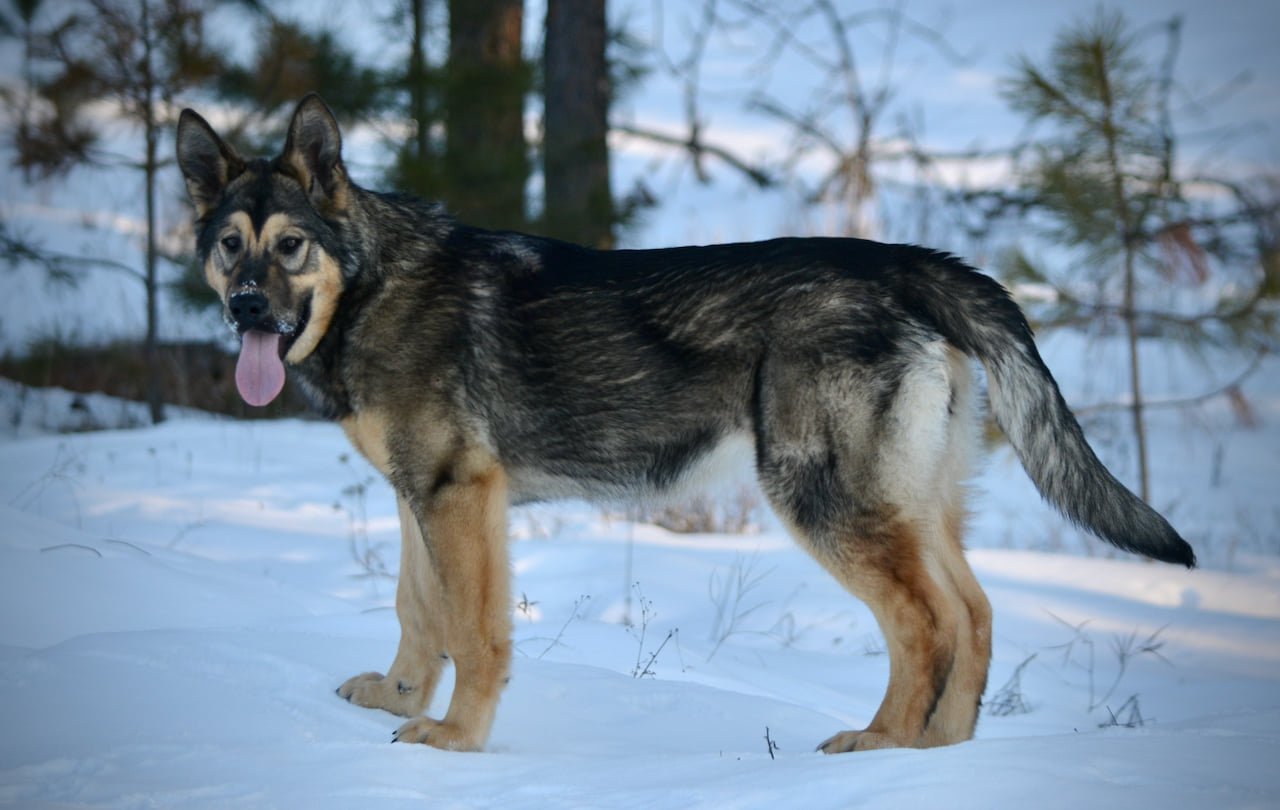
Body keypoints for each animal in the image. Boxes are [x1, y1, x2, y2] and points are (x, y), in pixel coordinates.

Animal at [175, 97, 1192, 757]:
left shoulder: (459, 499)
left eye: (290, 245)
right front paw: (395, 700)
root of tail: (910, 263)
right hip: (907, 505)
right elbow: (417, 610)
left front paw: (456, 741)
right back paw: (943, 758)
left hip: (824, 501)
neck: (374, 284)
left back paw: (882, 750)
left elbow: (471, 630)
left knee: (925, 626)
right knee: (973, 615)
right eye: (230, 246)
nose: (248, 310)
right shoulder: (420, 498)